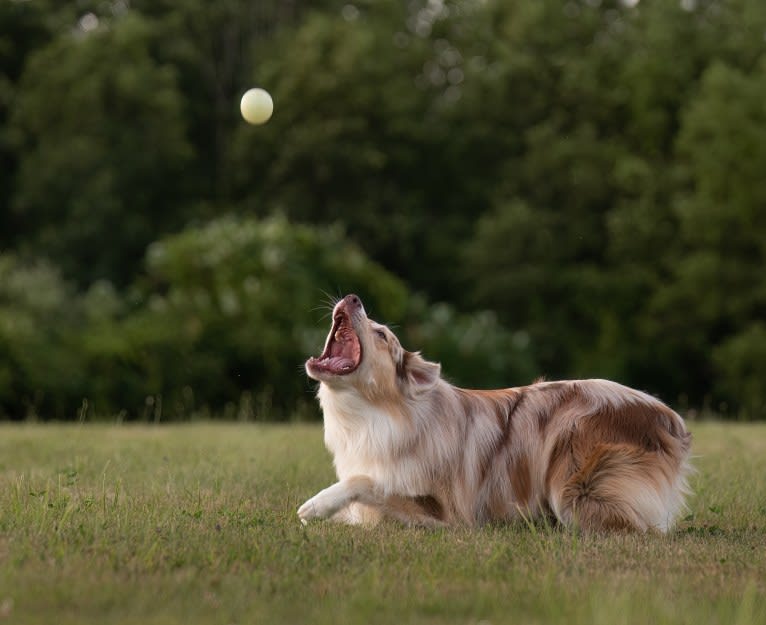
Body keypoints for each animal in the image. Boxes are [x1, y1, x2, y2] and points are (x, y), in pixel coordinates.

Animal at [302, 294, 696, 532]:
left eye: (382, 335)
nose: (353, 298)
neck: (374, 414)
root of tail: (668, 417)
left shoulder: (446, 513)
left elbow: (365, 483)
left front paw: (315, 505)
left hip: (573, 485)